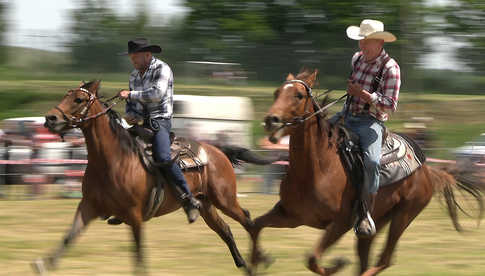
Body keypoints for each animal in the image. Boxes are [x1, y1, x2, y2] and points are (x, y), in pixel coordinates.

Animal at [32, 80, 266, 274]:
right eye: (66, 95)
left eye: (78, 99)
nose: (50, 118)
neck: (113, 161)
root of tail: (217, 150)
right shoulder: (89, 206)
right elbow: (69, 237)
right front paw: (44, 264)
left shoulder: (134, 215)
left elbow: (139, 257)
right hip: (207, 205)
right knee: (226, 230)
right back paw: (245, 265)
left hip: (225, 199)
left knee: (248, 220)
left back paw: (259, 259)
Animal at [248, 69, 482, 276]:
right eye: (276, 92)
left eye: (299, 95)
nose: (271, 120)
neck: (317, 170)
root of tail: (427, 169)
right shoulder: (290, 216)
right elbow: (255, 226)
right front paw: (259, 259)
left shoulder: (340, 223)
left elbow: (312, 259)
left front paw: (338, 264)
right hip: (376, 223)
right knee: (366, 260)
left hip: (404, 215)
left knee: (384, 260)